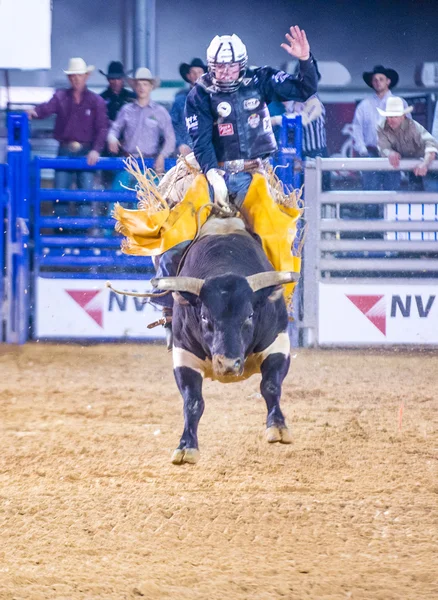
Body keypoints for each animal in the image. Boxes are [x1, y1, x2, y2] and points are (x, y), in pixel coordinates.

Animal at [150, 218, 298, 466]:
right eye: (204, 316)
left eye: (249, 315)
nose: (227, 364)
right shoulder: (185, 355)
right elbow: (192, 402)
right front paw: (186, 446)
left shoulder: (277, 342)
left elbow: (270, 386)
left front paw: (277, 427)